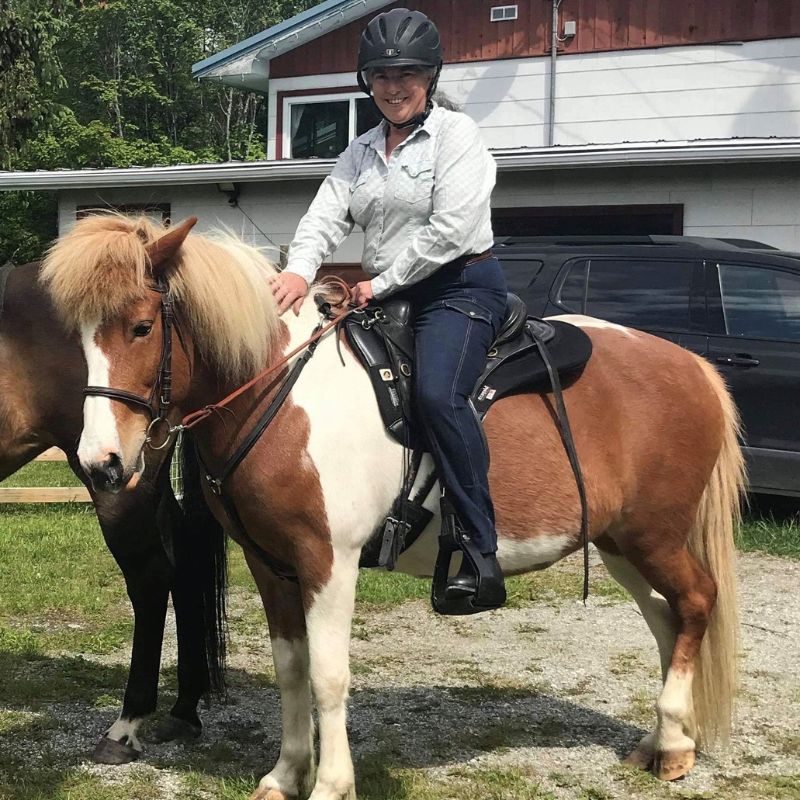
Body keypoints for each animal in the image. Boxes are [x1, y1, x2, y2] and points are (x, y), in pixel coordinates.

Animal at [42, 214, 744, 800]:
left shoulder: (329, 561)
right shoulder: (271, 565)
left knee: (695, 603)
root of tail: (695, 367)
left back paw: (673, 746)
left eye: (142, 326)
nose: (103, 464)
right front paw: (285, 775)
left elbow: (328, 675)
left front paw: (330, 786)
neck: (281, 395)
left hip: (655, 536)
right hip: (622, 542)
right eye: (79, 337)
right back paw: (662, 741)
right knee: (667, 618)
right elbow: (291, 669)